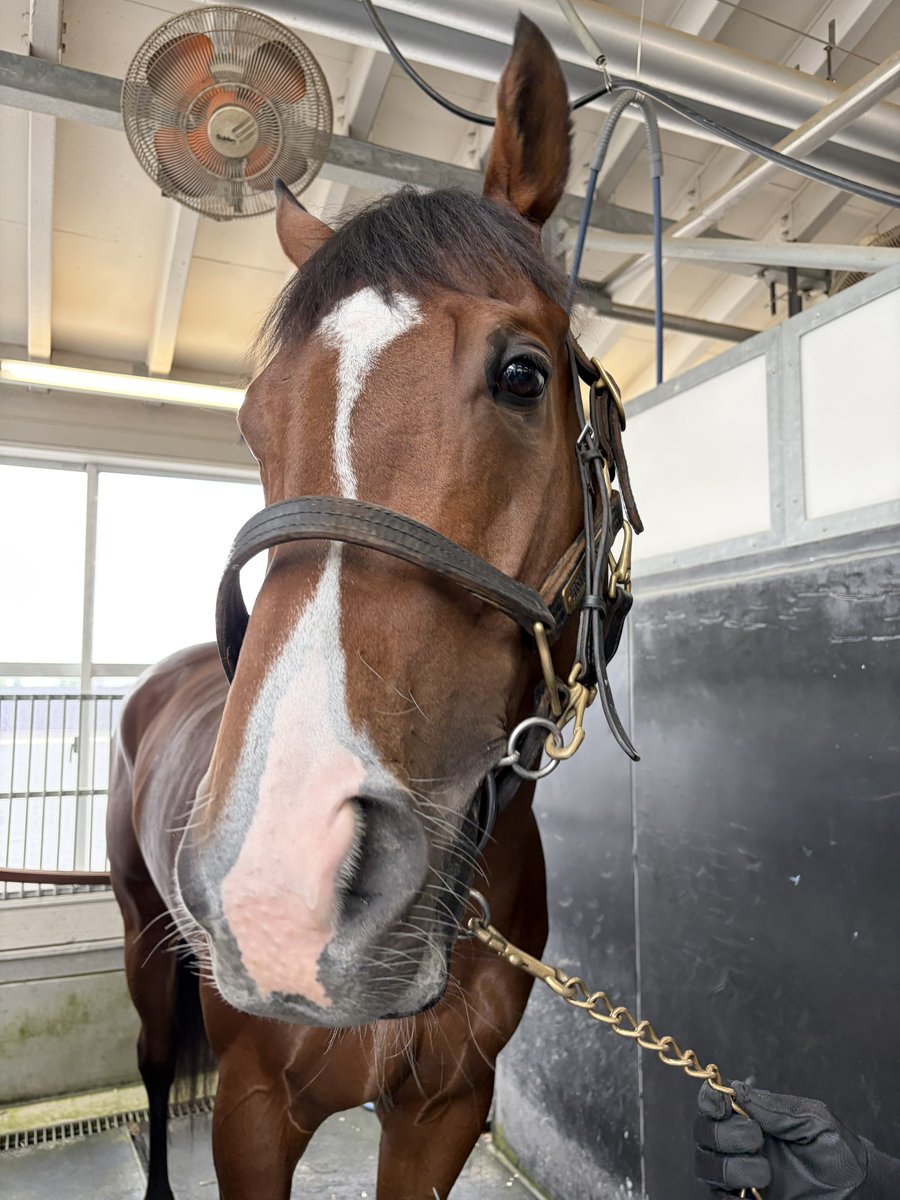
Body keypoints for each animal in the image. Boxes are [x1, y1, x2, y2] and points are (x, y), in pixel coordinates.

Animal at [107, 16, 638, 1199]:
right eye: (256, 421)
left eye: (525, 375)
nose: (281, 886)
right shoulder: (254, 1113)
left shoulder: (447, 1108)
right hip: (140, 935)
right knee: (156, 1068)